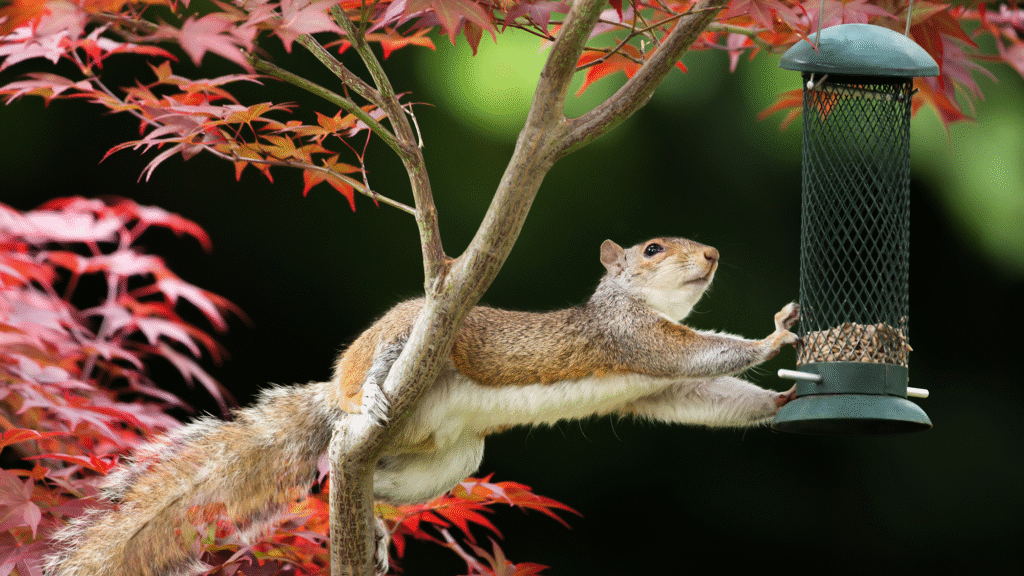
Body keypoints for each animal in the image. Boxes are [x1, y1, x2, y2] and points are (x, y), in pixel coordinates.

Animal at [45, 236, 800, 576]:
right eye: (652, 248)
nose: (712, 253)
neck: (637, 304)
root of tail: (336, 394)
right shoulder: (635, 341)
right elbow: (705, 356)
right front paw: (776, 336)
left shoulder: (658, 384)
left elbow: (706, 396)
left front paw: (783, 398)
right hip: (411, 336)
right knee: (382, 365)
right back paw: (376, 390)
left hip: (454, 455)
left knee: (360, 483)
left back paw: (372, 523)